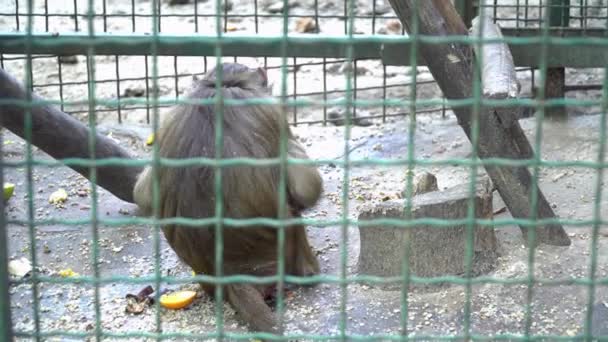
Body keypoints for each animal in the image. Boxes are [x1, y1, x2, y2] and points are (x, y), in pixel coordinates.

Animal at [133, 61, 324, 334]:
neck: (219, 87)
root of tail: (230, 273)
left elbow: (142, 194)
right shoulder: (272, 112)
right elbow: (307, 188)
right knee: (293, 214)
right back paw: (310, 273)